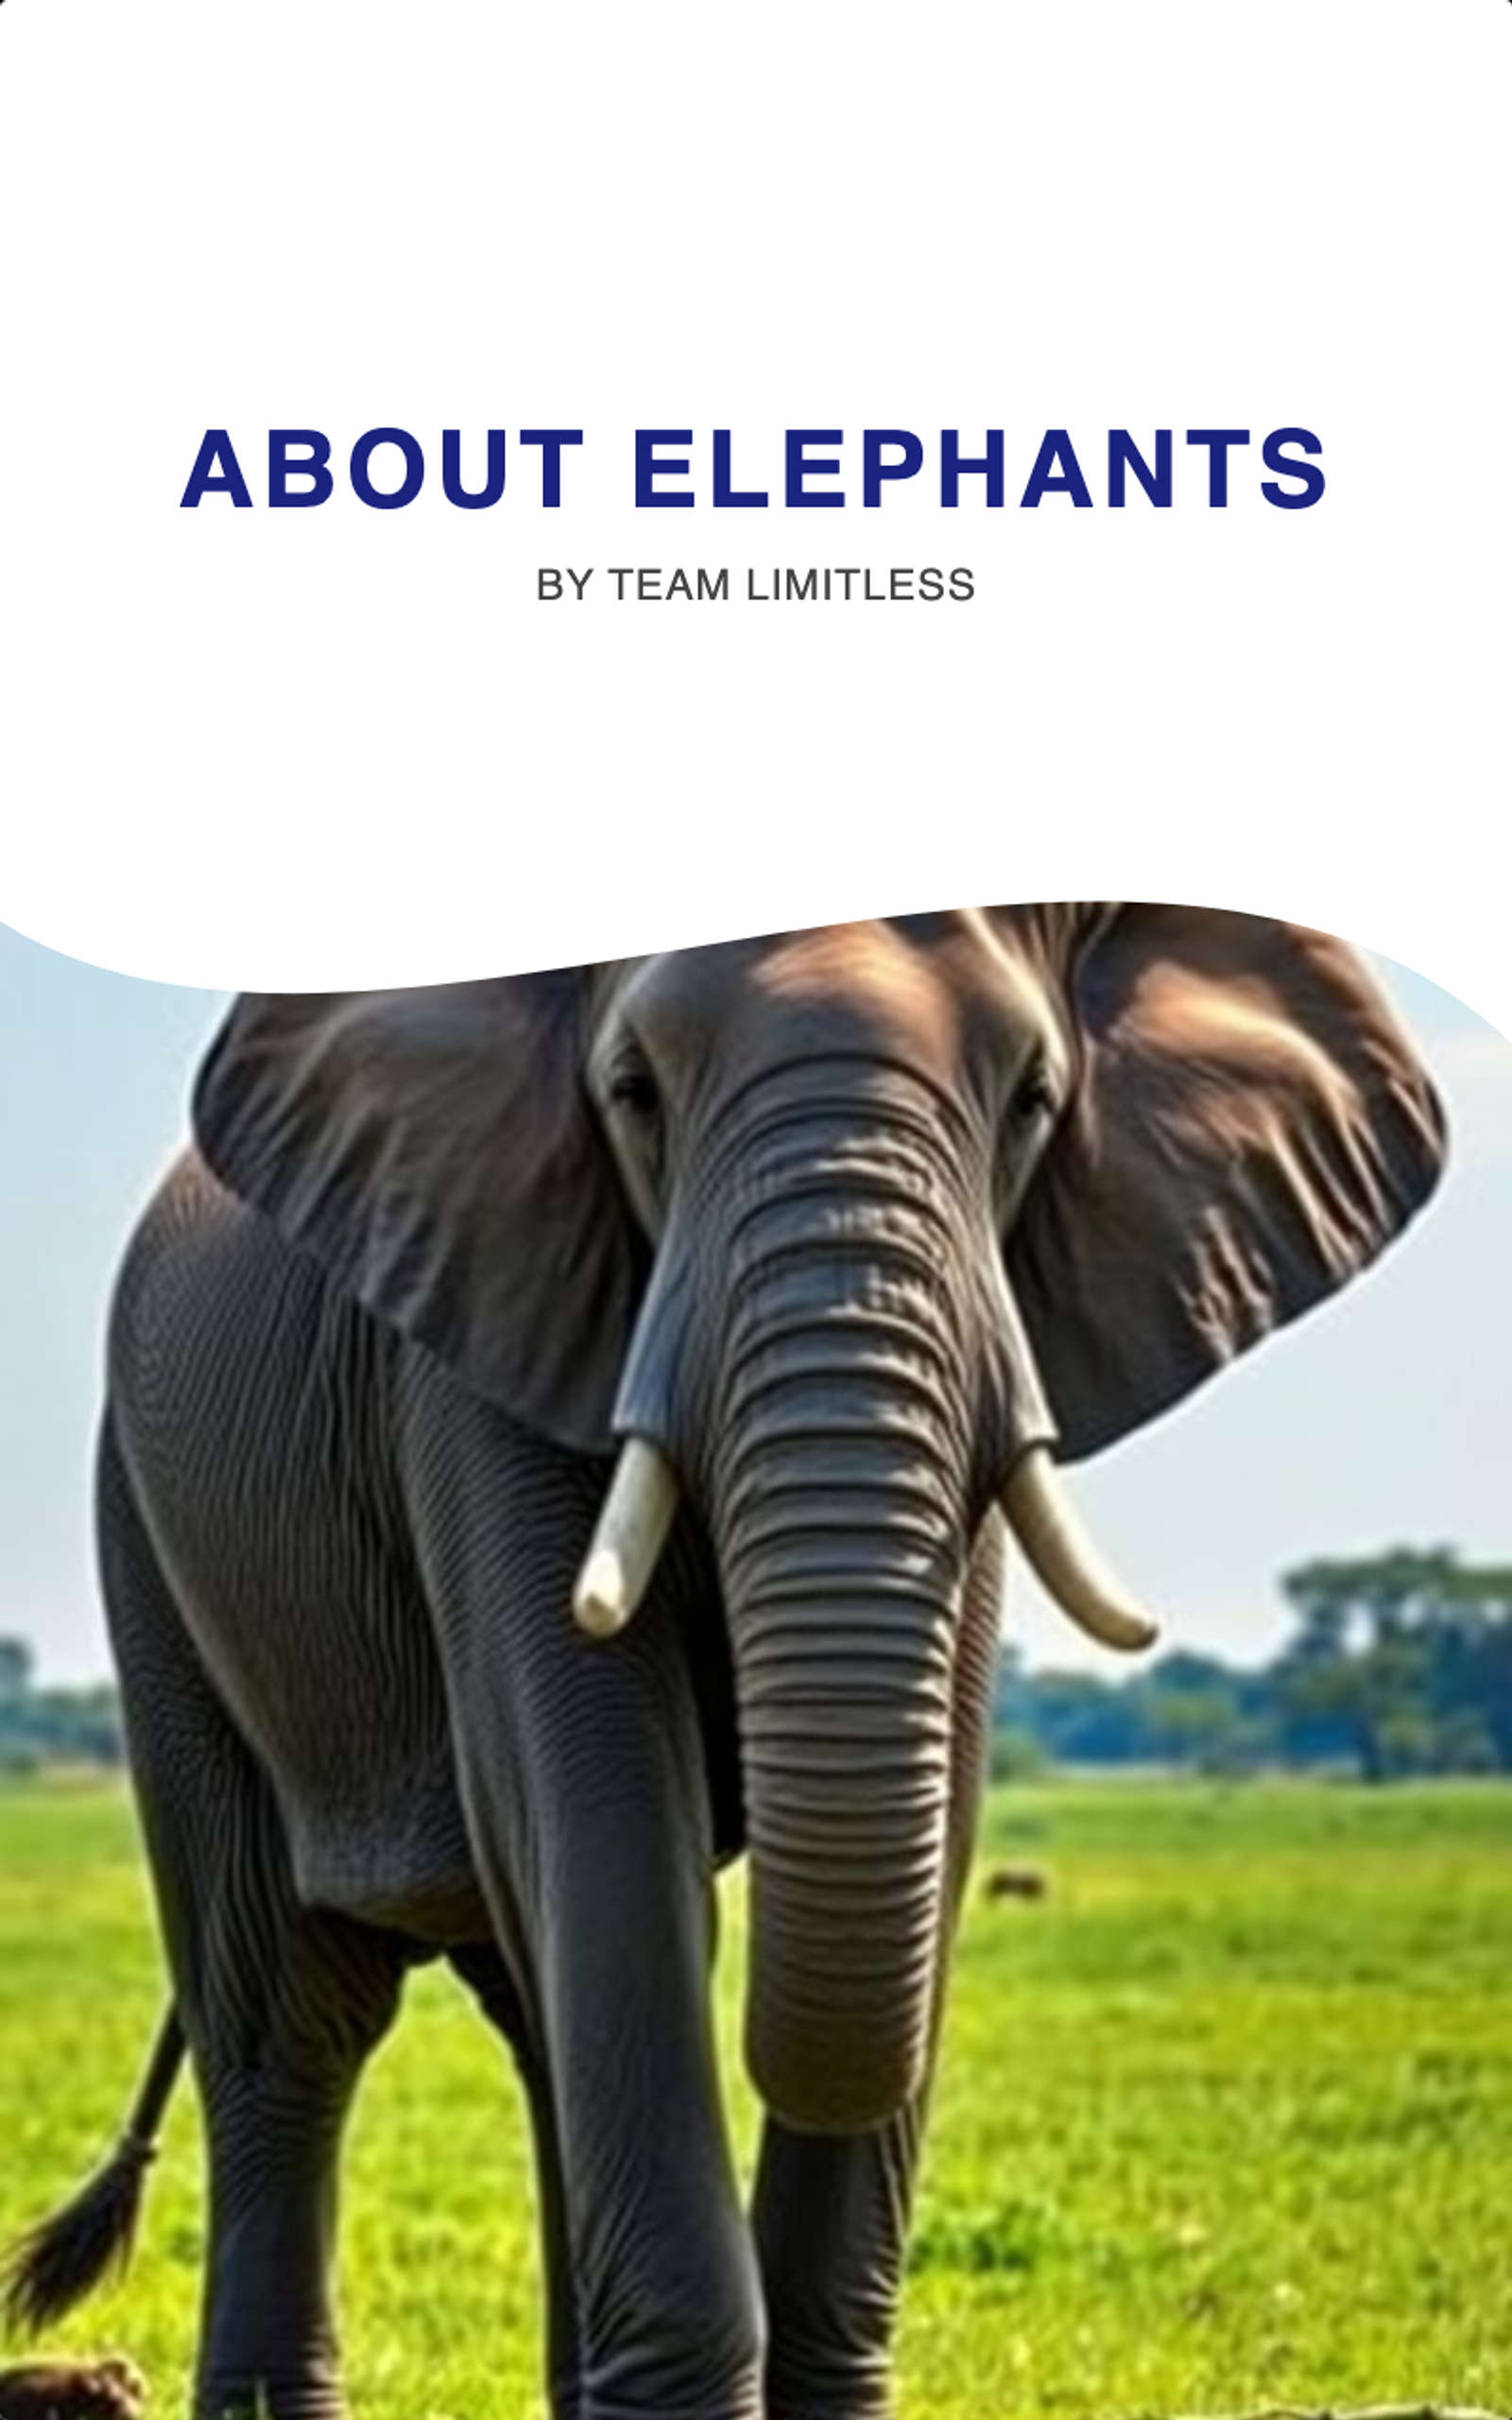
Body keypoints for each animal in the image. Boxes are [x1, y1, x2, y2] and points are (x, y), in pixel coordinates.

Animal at [2, 908, 1444, 2420]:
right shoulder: (479, 1327)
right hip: (149, 1537)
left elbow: (920, 1812)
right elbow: (609, 1820)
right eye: (633, 1091)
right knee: (291, 2015)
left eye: (1033, 1099)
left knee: (524, 2006)